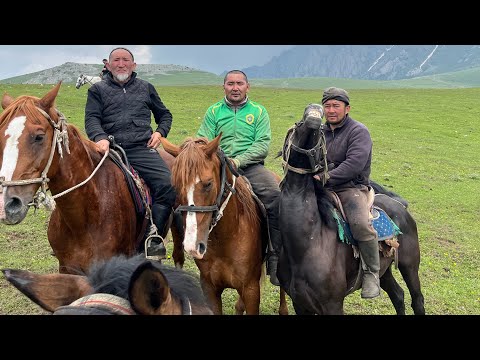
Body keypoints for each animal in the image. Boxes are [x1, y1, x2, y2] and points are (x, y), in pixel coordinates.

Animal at [161, 136, 288, 316]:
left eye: (208, 184)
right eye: (176, 186)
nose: (193, 245)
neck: (227, 238)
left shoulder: (251, 290)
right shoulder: (210, 288)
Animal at [276, 105, 426, 314]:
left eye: (319, 132)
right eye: (298, 124)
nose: (314, 111)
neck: (309, 244)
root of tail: (399, 205)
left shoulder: (332, 305)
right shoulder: (299, 303)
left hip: (410, 265)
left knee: (417, 299)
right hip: (384, 270)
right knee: (398, 295)